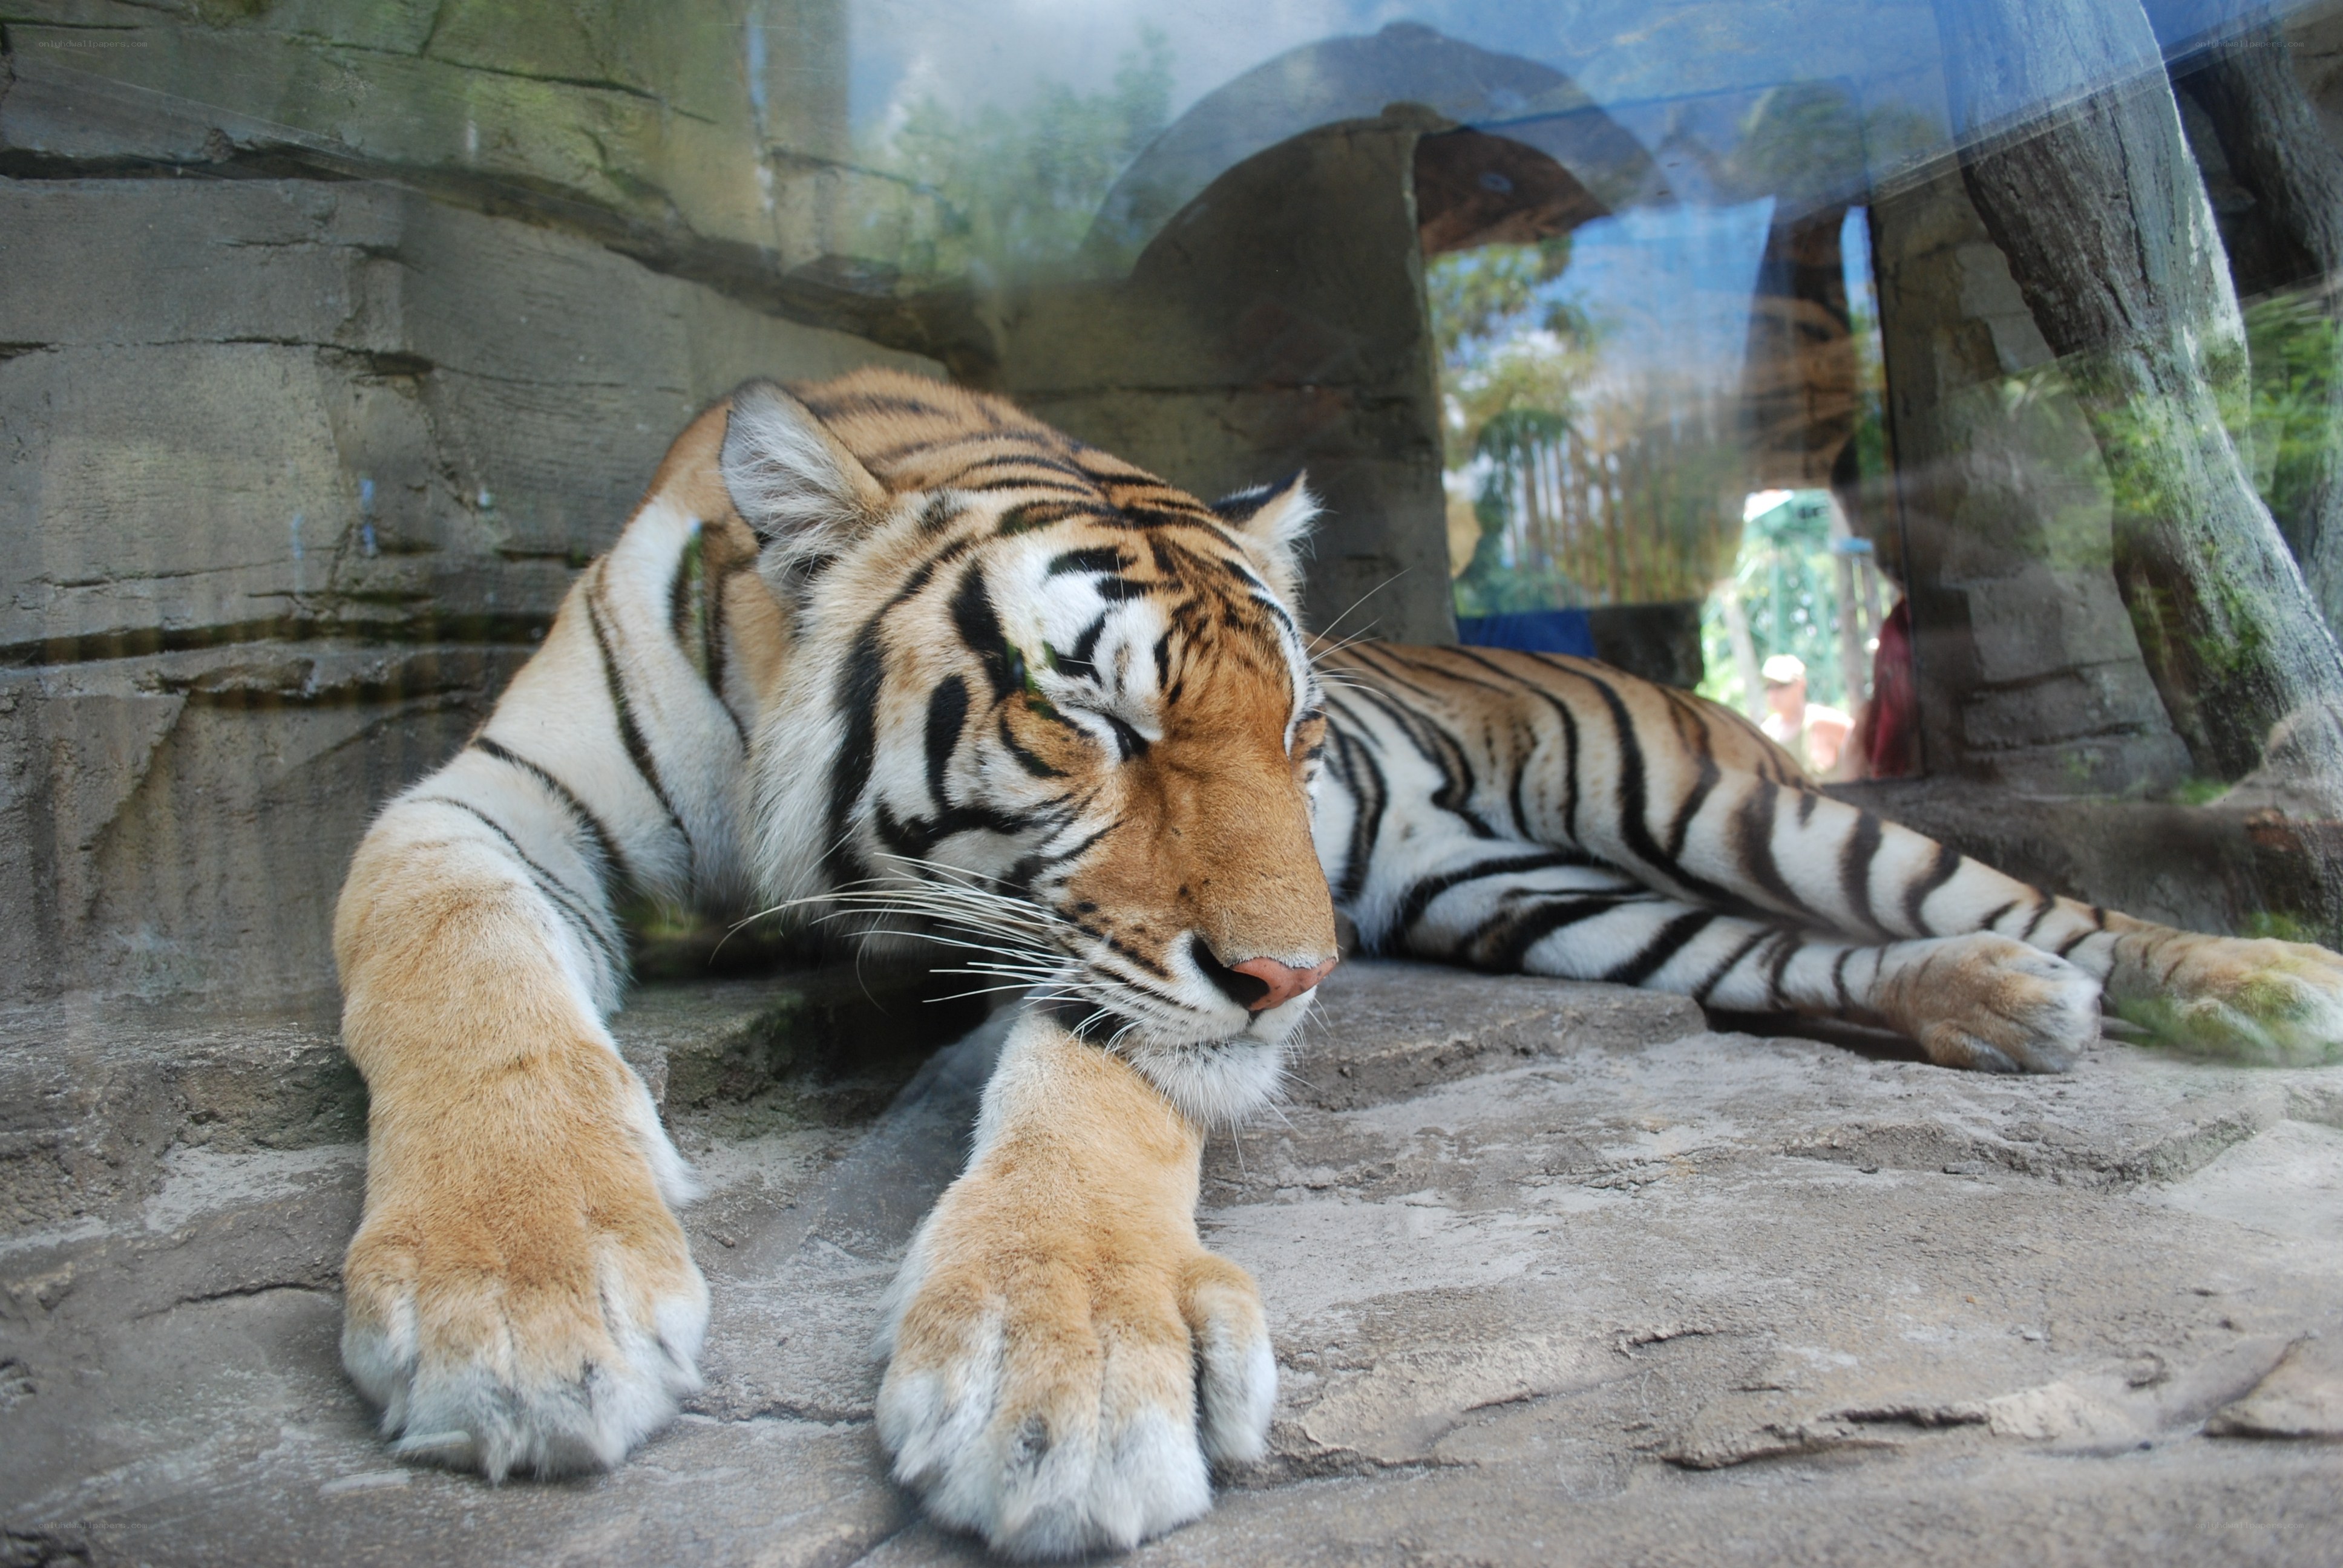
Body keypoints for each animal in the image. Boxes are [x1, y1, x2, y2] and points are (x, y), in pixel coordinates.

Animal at [331, 367, 2343, 1558]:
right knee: (1780, 958)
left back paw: (2250, 987)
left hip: (1732, 806)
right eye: (1098, 723)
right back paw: (1985, 1008)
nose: (1304, 980)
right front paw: (521, 1302)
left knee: (2010, 894)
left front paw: (1068, 1373)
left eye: (1300, 735)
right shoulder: (477, 805)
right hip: (1563, 902)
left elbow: (1098, 1102)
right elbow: (453, 972)